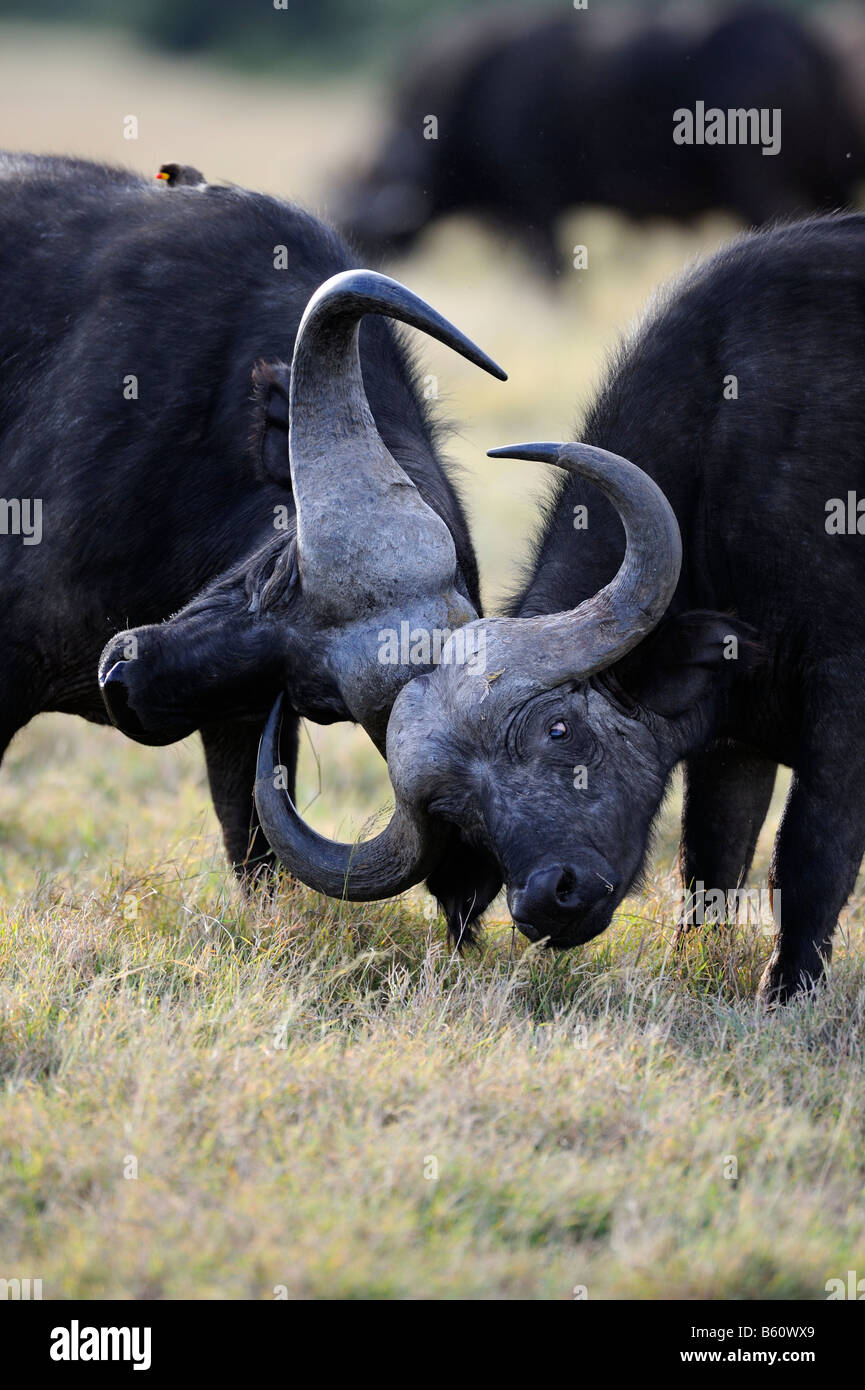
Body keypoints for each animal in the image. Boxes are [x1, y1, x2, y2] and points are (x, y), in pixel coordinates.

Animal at [261, 214, 865, 1000]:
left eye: (558, 728)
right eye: (456, 810)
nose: (549, 897)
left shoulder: (844, 702)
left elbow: (809, 855)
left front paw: (785, 991)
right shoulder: (733, 740)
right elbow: (710, 859)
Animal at [337, 3, 865, 273]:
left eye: (366, 233)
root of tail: (798, 40)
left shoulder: (538, 209)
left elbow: (551, 275)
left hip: (754, 184)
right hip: (823, 178)